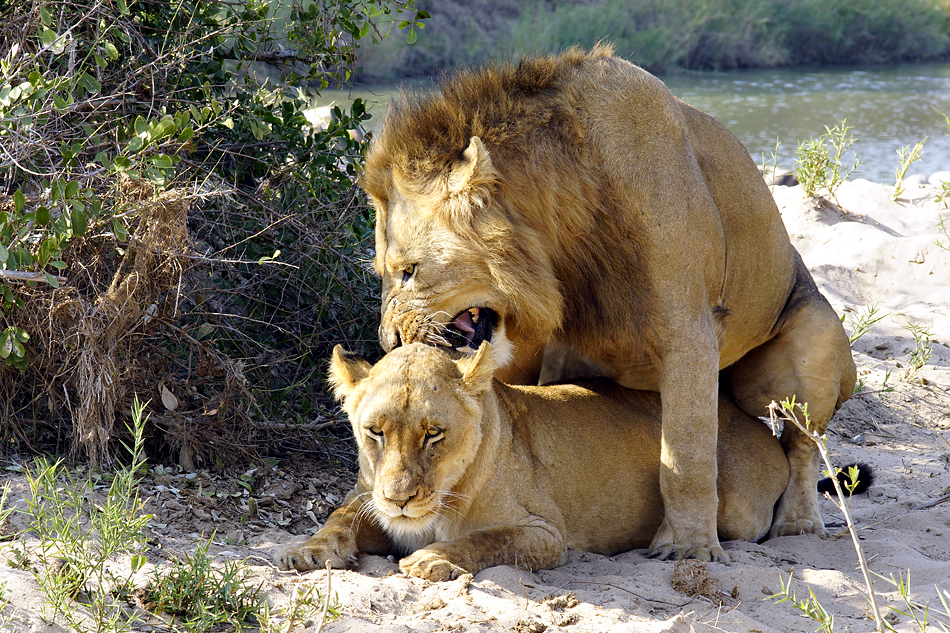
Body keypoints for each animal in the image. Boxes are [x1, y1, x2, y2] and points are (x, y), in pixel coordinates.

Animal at [278, 344, 792, 580]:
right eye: (376, 432)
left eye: (433, 434)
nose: (400, 499)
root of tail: (751, 419)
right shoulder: (368, 498)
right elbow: (338, 516)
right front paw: (307, 550)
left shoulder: (547, 534)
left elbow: (488, 538)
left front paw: (432, 558)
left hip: (738, 508)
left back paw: (669, 542)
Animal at [360, 44, 860, 560]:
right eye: (382, 271)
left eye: (409, 270)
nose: (389, 341)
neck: (562, 238)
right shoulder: (533, 343)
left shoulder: (690, 331)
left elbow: (687, 457)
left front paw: (691, 549)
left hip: (804, 352)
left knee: (802, 444)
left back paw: (798, 522)